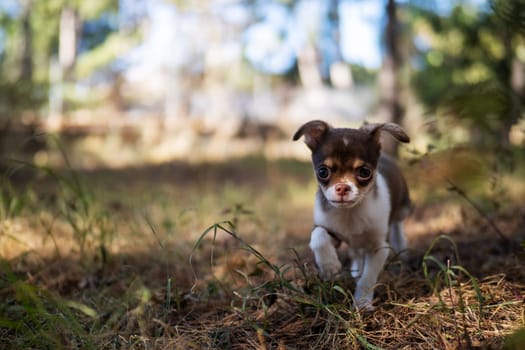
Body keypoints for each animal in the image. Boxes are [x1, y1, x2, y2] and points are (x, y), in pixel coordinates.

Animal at [292, 119, 412, 308]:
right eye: (322, 171)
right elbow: (318, 237)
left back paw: (401, 245)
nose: (342, 187)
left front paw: (362, 303)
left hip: (403, 208)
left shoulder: (379, 247)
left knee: (397, 224)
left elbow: (368, 278)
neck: (349, 213)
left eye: (364, 172)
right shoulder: (328, 230)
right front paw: (329, 267)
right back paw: (355, 268)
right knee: (356, 250)